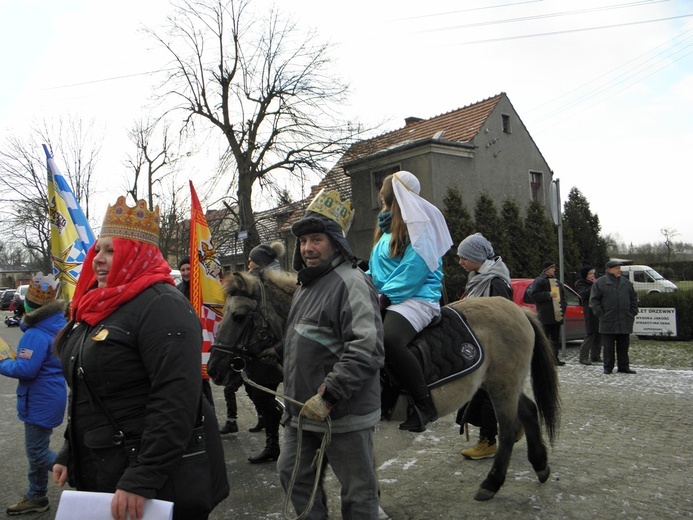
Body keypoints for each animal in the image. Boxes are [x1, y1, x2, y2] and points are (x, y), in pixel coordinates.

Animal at [204, 268, 556, 500]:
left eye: (238, 316)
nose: (215, 369)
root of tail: (519, 311)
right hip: (501, 384)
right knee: (528, 411)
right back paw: (540, 465)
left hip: (501, 384)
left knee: (508, 429)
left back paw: (491, 483)